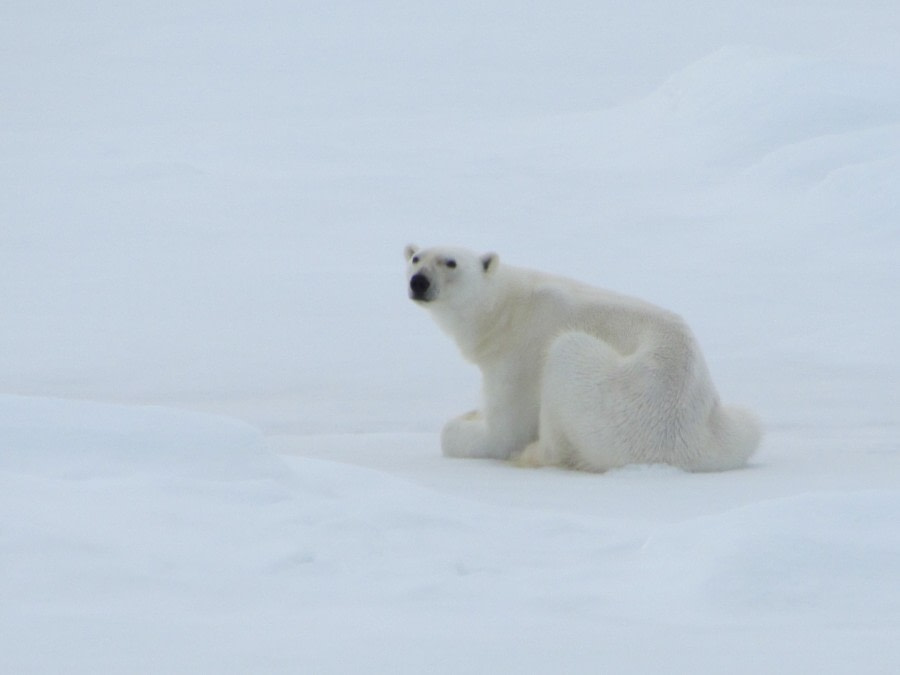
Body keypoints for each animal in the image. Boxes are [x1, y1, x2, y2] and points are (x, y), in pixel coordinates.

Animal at [404, 246, 764, 472]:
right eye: (416, 257)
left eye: (450, 262)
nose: (418, 281)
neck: (507, 307)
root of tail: (680, 452)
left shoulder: (520, 353)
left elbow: (502, 434)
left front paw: (467, 421)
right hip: (726, 430)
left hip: (612, 403)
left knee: (564, 359)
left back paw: (532, 453)